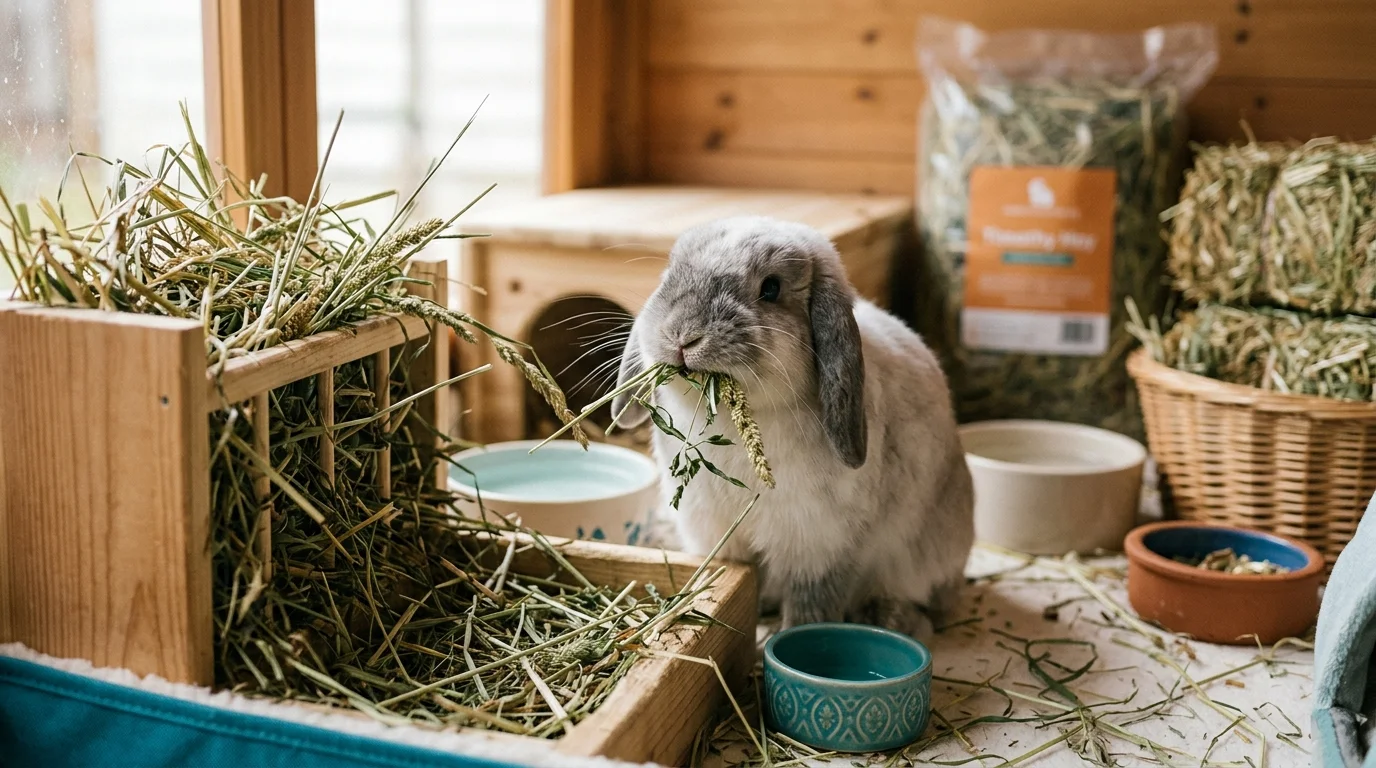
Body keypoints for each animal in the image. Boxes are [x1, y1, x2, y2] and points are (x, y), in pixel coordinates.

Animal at [611, 216, 974, 640]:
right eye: (672, 272)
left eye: (771, 288)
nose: (683, 336)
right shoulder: (719, 536)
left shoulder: (818, 548)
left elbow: (810, 606)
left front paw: (787, 634)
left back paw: (893, 619)